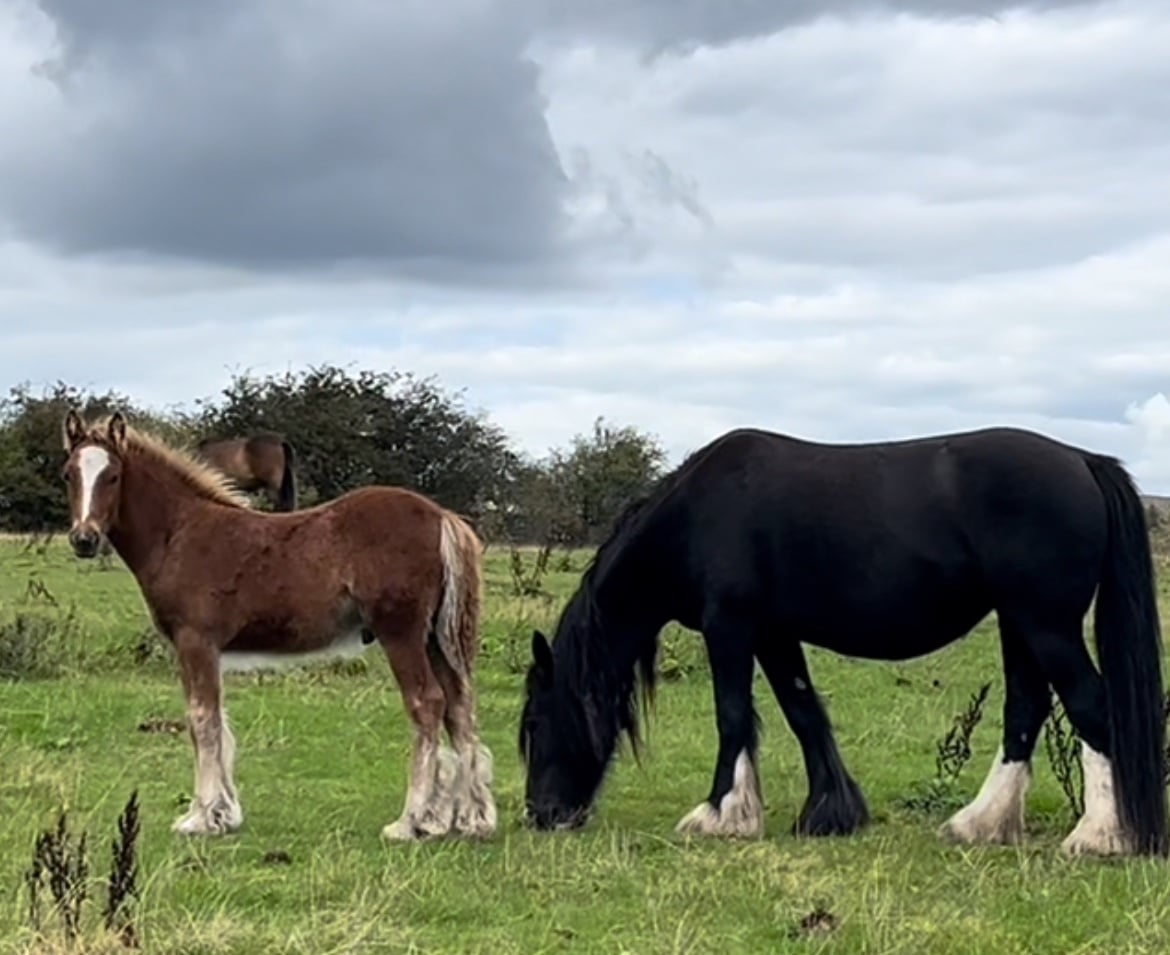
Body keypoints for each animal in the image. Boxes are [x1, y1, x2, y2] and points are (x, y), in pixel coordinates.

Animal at [61, 410, 496, 841]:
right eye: (69, 474)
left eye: (113, 475)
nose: (84, 539)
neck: (180, 532)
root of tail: (441, 516)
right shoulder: (200, 650)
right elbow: (216, 721)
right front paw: (224, 813)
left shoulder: (195, 642)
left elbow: (202, 720)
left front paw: (201, 816)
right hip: (433, 639)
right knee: (459, 706)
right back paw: (471, 818)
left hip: (401, 634)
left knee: (427, 703)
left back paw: (410, 821)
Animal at [518, 425, 1167, 858]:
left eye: (536, 724)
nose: (543, 814)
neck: (698, 514)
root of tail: (1083, 459)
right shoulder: (774, 633)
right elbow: (803, 712)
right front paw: (830, 812)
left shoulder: (731, 625)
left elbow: (732, 716)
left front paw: (719, 815)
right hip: (1020, 623)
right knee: (1026, 711)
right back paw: (979, 824)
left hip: (1045, 623)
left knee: (1092, 708)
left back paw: (1100, 836)